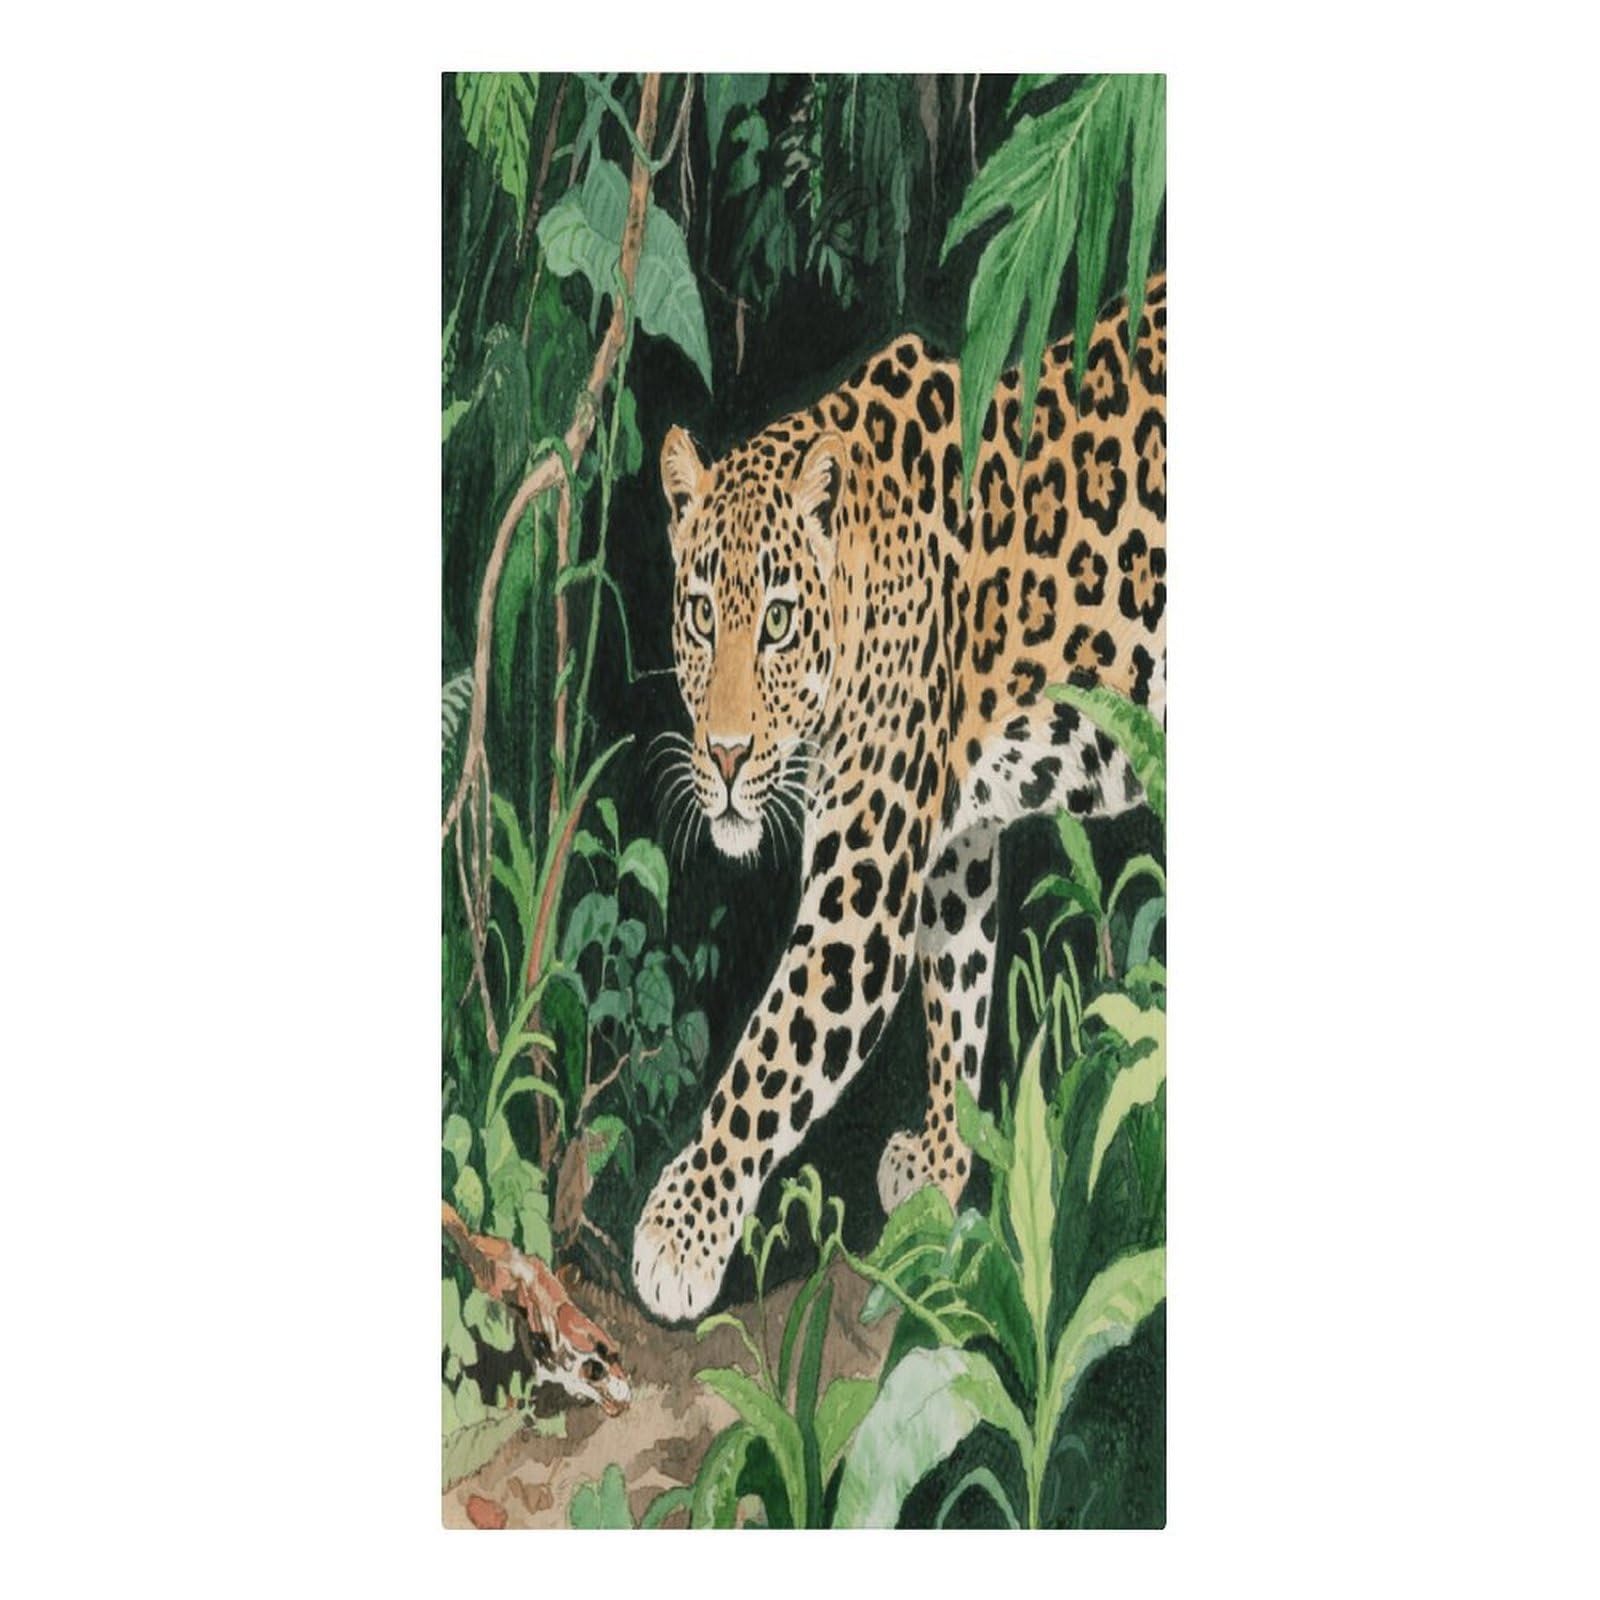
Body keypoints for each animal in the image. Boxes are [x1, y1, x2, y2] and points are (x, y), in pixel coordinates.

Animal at [633, 276, 1167, 1322]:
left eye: (779, 622)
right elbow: (958, 994)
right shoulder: (952, 845)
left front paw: (681, 1232)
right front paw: (946, 1161)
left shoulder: (863, 892)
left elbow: (769, 1055)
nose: (725, 755)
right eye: (703, 615)